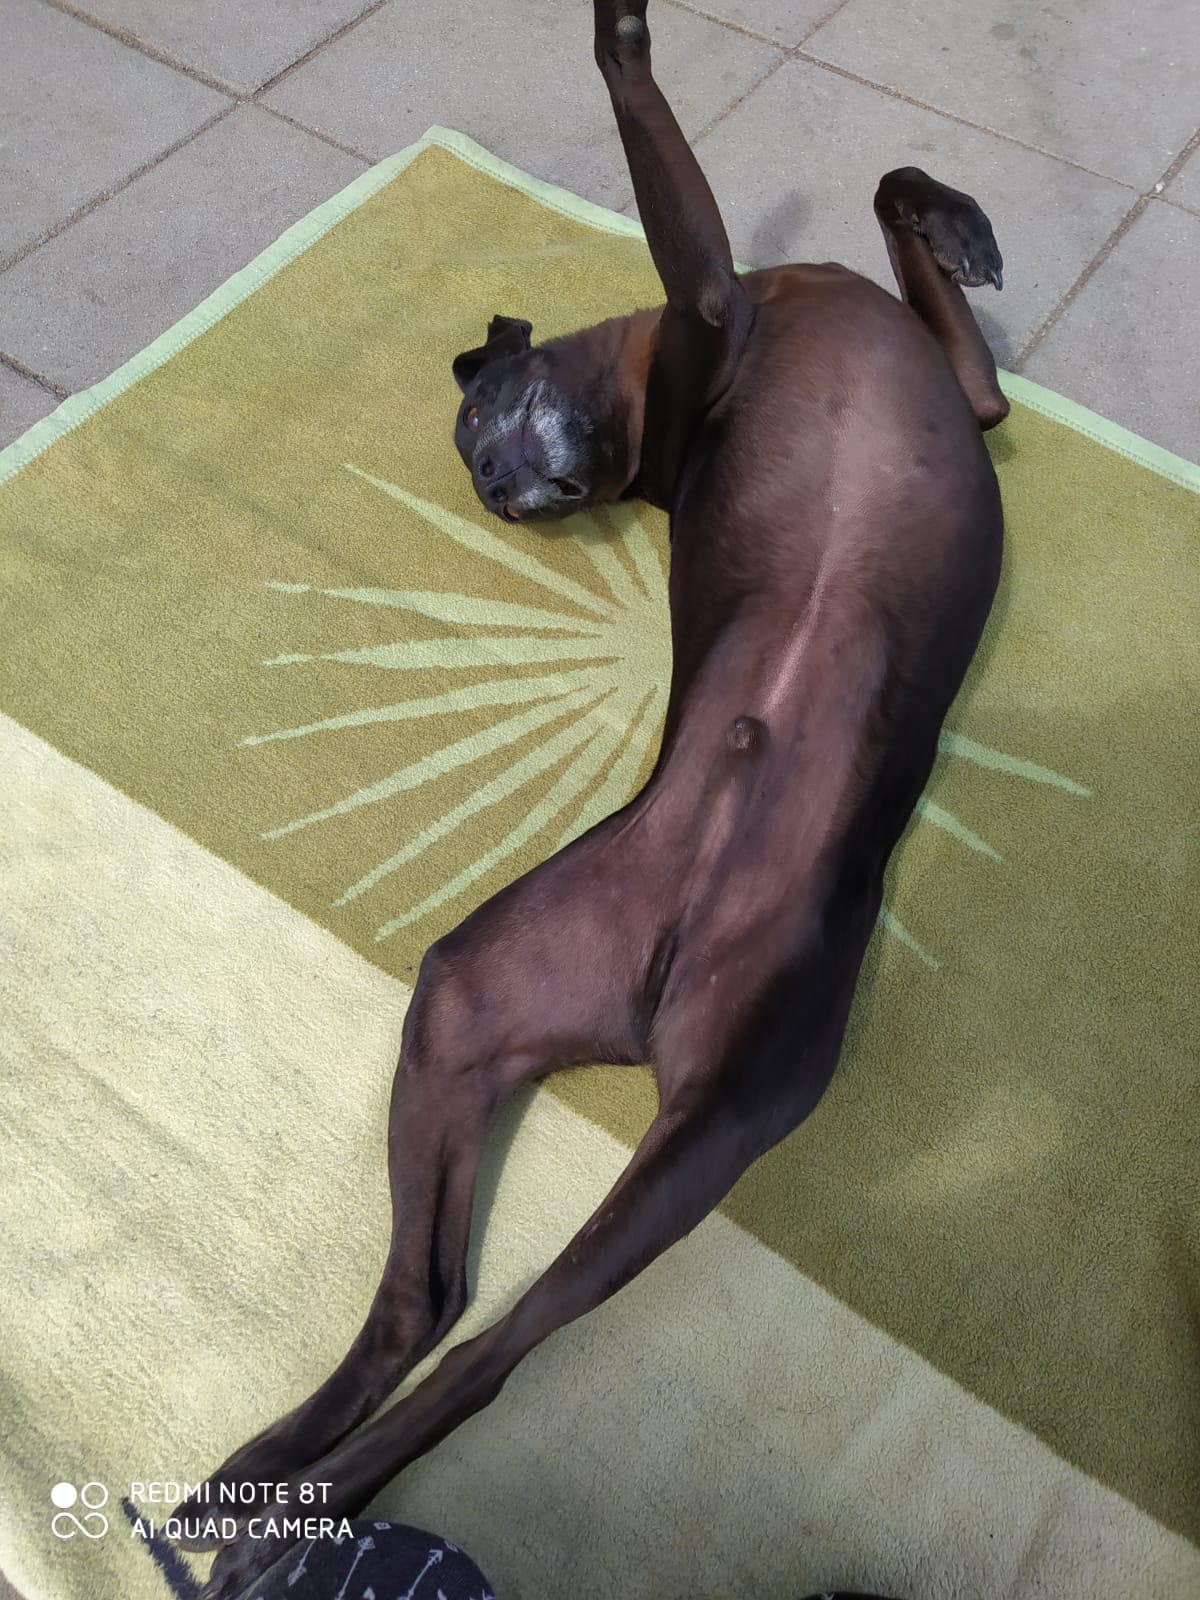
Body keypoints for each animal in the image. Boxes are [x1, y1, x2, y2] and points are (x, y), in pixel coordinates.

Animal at [185, 3, 1006, 1592]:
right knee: (491, 1351)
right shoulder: (713, 308)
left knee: (429, 1294)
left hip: (476, 1000)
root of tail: (651, 980)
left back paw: (267, 1472)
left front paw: (960, 220)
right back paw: (321, 1495)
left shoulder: (953, 393)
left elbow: (894, 195)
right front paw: (625, 34)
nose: (509, 498)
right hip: (716, 1126)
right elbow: (708, 159)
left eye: (480, 429)